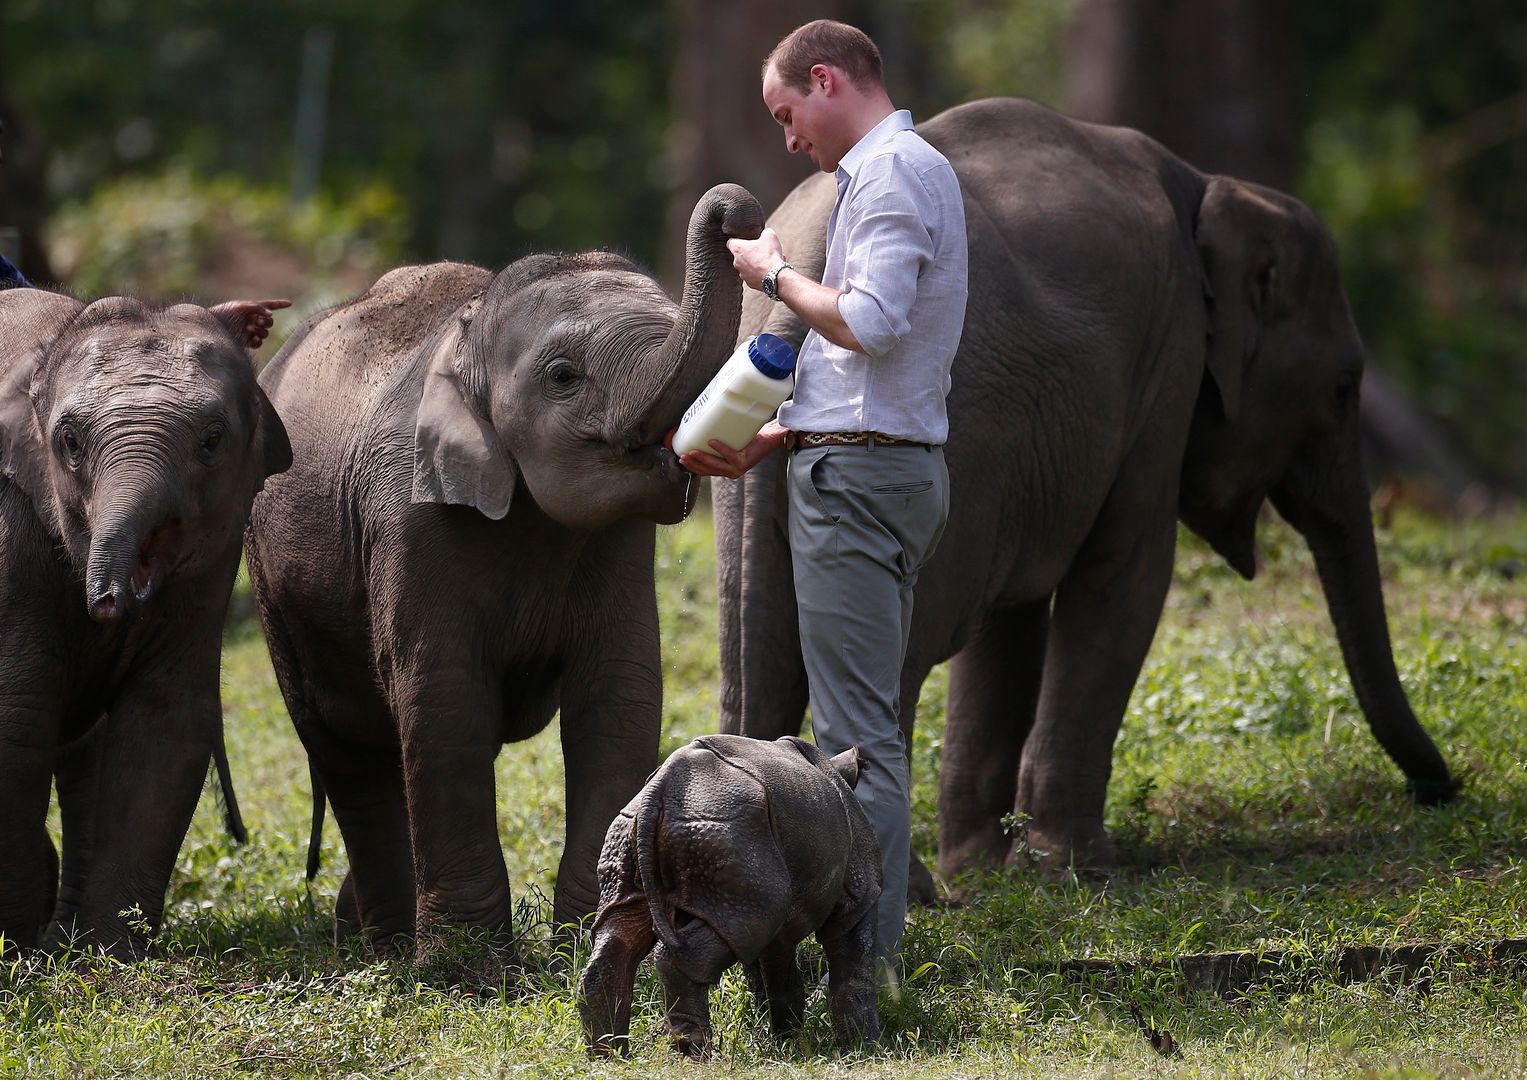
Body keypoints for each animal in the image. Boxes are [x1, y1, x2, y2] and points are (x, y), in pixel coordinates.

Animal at [0, 288, 288, 953]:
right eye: (68, 442)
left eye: (212, 440)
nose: (108, 600)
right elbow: (15, 721)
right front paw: (18, 950)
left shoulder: (212, 557)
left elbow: (164, 723)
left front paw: (106, 958)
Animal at [250, 181, 769, 959]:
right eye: (563, 377)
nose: (737, 209)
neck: (466, 338)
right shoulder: (407, 513)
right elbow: (444, 699)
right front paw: (467, 970)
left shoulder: (619, 544)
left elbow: (617, 695)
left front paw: (593, 946)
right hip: (270, 583)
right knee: (349, 751)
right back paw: (386, 949)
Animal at [574, 730, 885, 1063]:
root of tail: (659, 792)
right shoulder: (860, 896)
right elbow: (854, 969)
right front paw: (863, 1049)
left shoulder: (779, 922)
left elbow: (780, 979)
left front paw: (789, 1042)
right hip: (727, 831)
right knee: (702, 945)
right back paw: (695, 1055)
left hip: (640, 830)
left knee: (623, 928)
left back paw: (609, 1056)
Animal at [714, 97, 1453, 885]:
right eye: (1344, 388)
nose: (1438, 791)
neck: (1210, 187)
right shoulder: (1166, 367)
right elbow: (1126, 577)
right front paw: (1075, 868)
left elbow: (1011, 623)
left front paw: (984, 870)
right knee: (898, 653)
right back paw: (908, 890)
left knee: (761, 661)